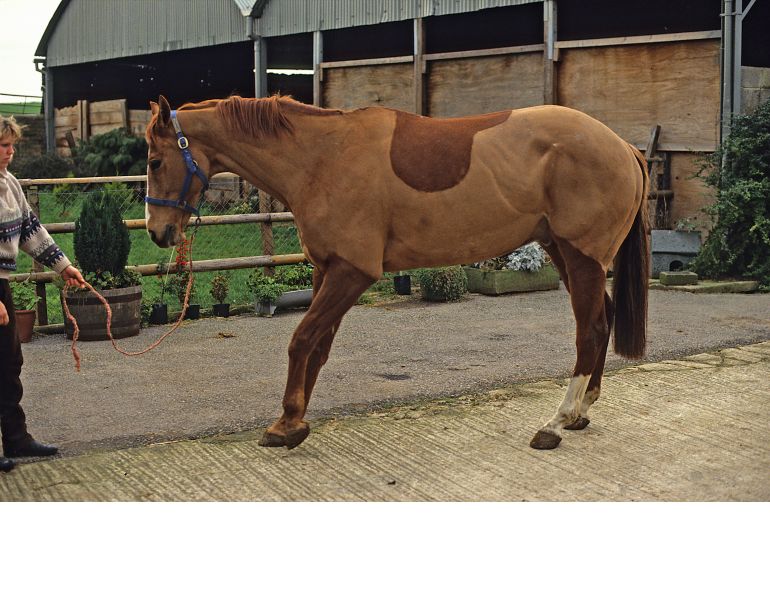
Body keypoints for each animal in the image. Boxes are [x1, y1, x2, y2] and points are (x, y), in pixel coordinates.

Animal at [144, 94, 649, 451]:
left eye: (153, 160)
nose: (157, 231)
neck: (322, 157)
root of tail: (623, 147)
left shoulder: (352, 272)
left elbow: (301, 340)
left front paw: (286, 424)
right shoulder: (326, 270)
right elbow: (318, 347)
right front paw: (296, 419)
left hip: (580, 256)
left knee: (590, 329)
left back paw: (556, 422)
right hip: (562, 250)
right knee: (600, 318)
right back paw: (581, 411)